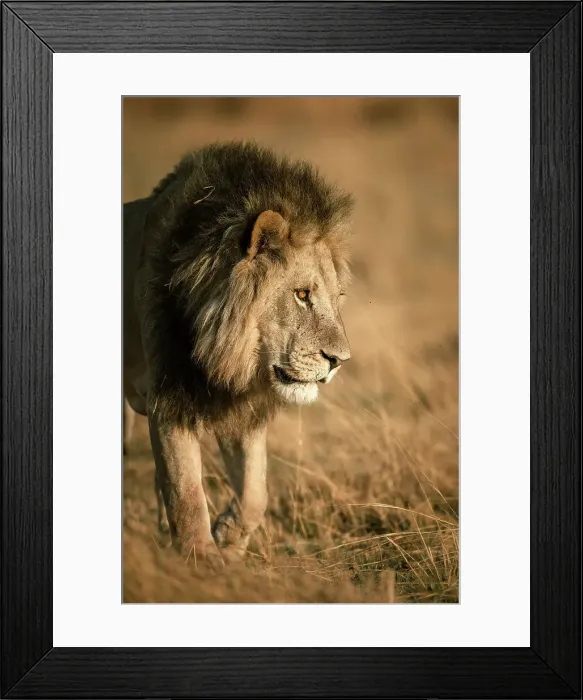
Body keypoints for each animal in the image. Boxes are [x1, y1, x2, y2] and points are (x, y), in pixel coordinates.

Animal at [123, 141, 353, 567]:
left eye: (338, 297)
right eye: (301, 294)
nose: (339, 361)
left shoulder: (242, 409)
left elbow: (255, 491)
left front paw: (227, 538)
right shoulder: (168, 398)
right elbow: (186, 490)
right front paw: (201, 559)